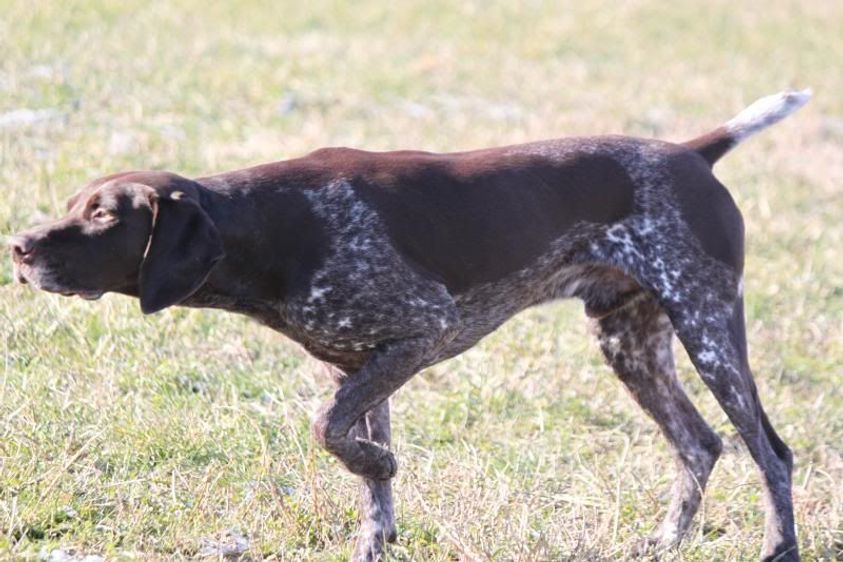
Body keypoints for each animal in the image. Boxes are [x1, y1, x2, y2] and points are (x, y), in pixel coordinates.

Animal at [6, 89, 812, 556]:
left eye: (104, 216)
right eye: (77, 205)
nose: (19, 247)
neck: (267, 228)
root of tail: (692, 153)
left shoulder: (424, 329)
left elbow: (329, 431)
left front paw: (379, 469)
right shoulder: (357, 359)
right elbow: (363, 465)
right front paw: (377, 531)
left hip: (707, 326)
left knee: (769, 451)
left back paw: (778, 547)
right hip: (630, 341)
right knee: (700, 443)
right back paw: (666, 541)